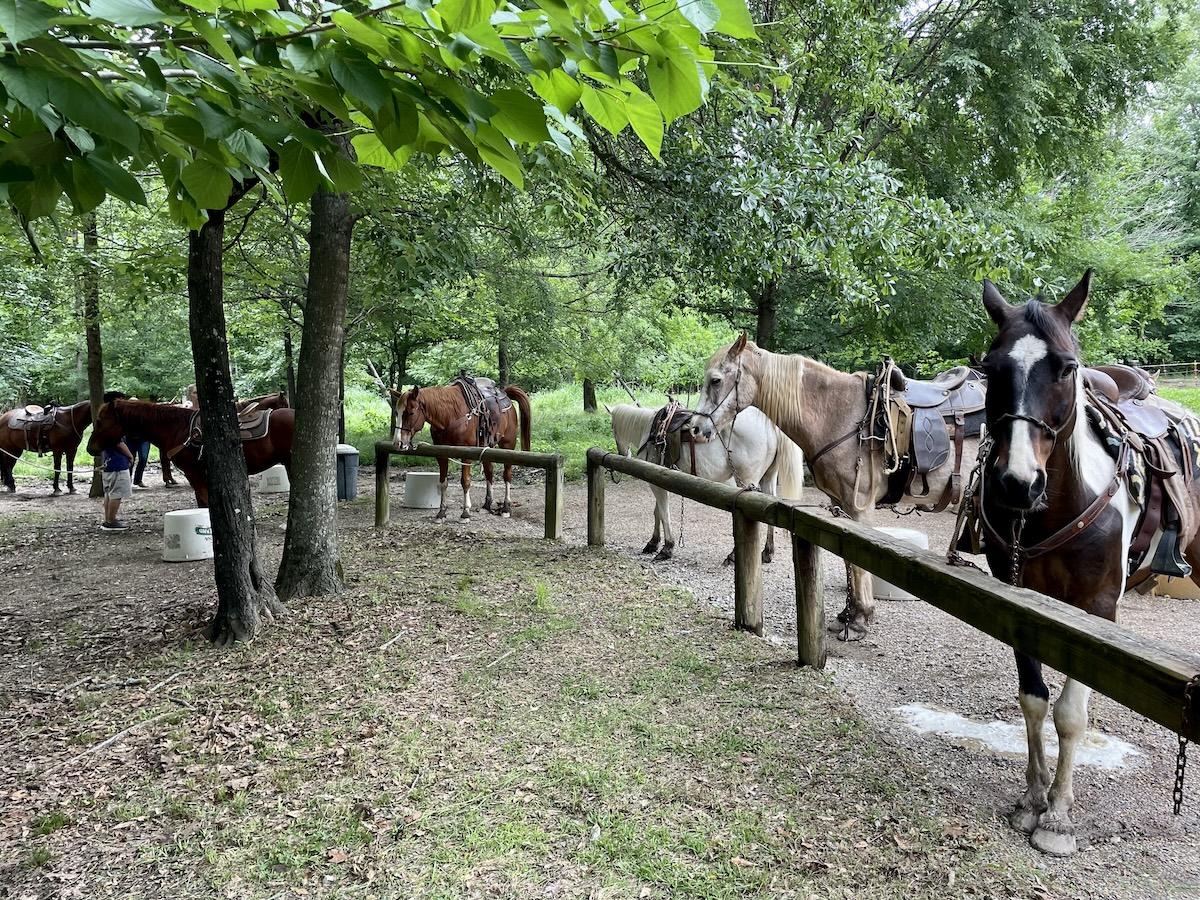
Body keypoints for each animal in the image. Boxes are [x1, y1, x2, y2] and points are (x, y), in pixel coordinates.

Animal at [391, 383, 531, 521]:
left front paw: (465, 512)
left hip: (508, 445)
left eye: (411, 413)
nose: (398, 443)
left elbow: (465, 482)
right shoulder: (441, 454)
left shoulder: (466, 455)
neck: (449, 416)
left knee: (507, 475)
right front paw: (441, 513)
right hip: (487, 447)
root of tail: (505, 394)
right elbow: (443, 482)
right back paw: (487, 505)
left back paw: (506, 508)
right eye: (397, 413)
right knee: (489, 472)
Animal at [609, 404, 805, 563]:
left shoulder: (656, 482)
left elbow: (664, 513)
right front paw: (653, 543)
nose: (623, 453)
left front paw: (666, 548)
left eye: (612, 427)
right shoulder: (658, 478)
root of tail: (770, 425)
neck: (651, 429)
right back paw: (767, 552)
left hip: (748, 482)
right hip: (768, 477)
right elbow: (657, 512)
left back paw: (734, 555)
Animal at [688, 334, 980, 640]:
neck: (842, 416)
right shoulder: (840, 505)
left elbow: (859, 563)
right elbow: (848, 559)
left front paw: (861, 619)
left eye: (716, 380)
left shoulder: (860, 507)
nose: (694, 428)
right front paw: (848, 615)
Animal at [970, 271, 1200, 856]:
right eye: (991, 367)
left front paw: (1058, 817)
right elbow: (1033, 700)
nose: (1017, 484)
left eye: (1067, 368)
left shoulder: (1095, 608)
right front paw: (1033, 798)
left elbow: (1071, 714)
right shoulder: (1018, 600)